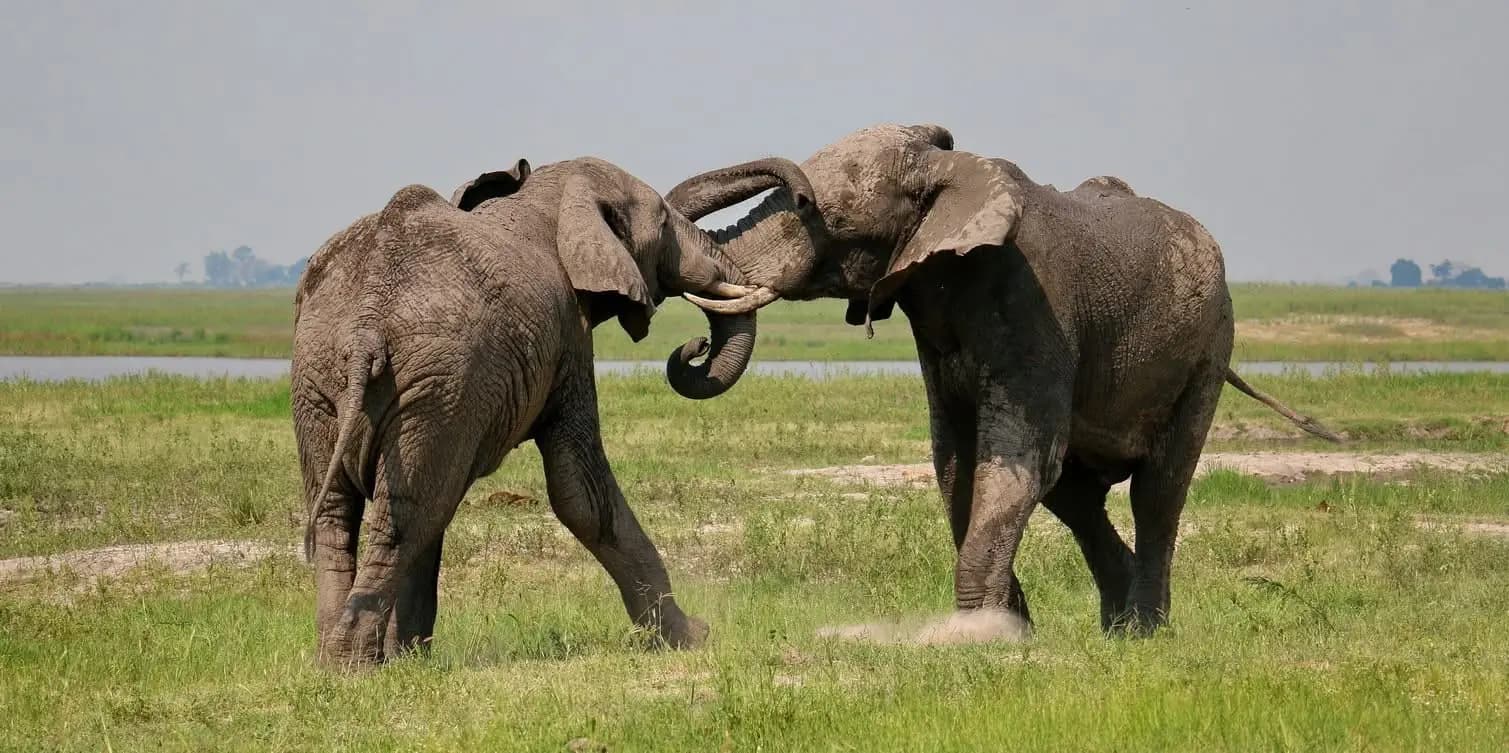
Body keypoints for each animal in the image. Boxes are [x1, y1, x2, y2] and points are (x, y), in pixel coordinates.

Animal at [291, 155, 815, 665]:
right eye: (665, 222)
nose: (804, 199)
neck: (552, 196)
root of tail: (366, 327)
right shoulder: (569, 336)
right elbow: (580, 491)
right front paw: (692, 637)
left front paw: (409, 658)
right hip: (438, 384)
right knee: (410, 512)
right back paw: (354, 665)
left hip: (322, 379)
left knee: (345, 510)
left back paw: (336, 658)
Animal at [667, 124, 1341, 636]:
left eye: (822, 214)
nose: (690, 347)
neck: (950, 170)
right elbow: (958, 464)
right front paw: (1008, 629)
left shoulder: (1032, 308)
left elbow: (1013, 458)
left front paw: (983, 633)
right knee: (1075, 496)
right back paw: (1118, 626)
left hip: (1208, 346)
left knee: (1157, 491)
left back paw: (1145, 631)